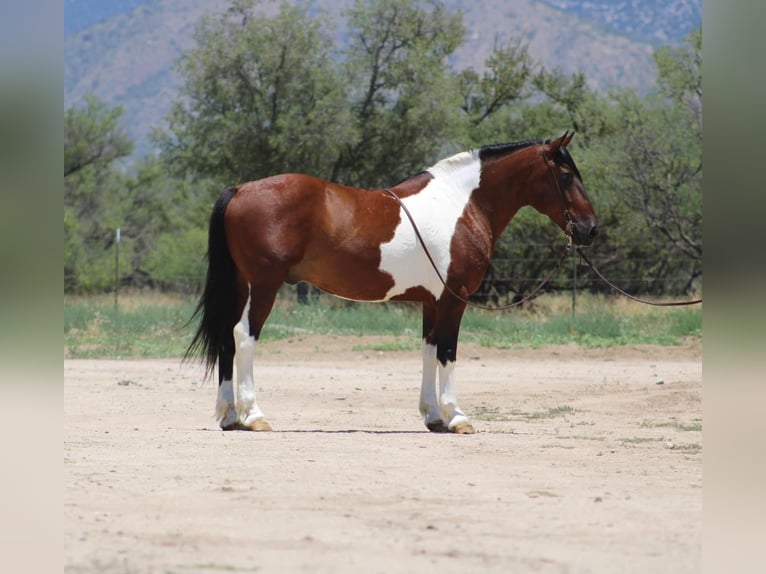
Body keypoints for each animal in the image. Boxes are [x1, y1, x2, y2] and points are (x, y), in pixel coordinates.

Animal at [188, 132, 600, 436]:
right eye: (566, 175)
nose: (590, 229)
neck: (460, 205)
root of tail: (241, 189)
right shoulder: (455, 299)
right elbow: (448, 352)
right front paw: (457, 417)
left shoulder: (433, 301)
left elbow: (429, 350)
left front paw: (433, 416)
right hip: (264, 286)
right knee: (244, 336)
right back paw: (254, 415)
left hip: (241, 285)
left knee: (226, 339)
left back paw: (229, 416)